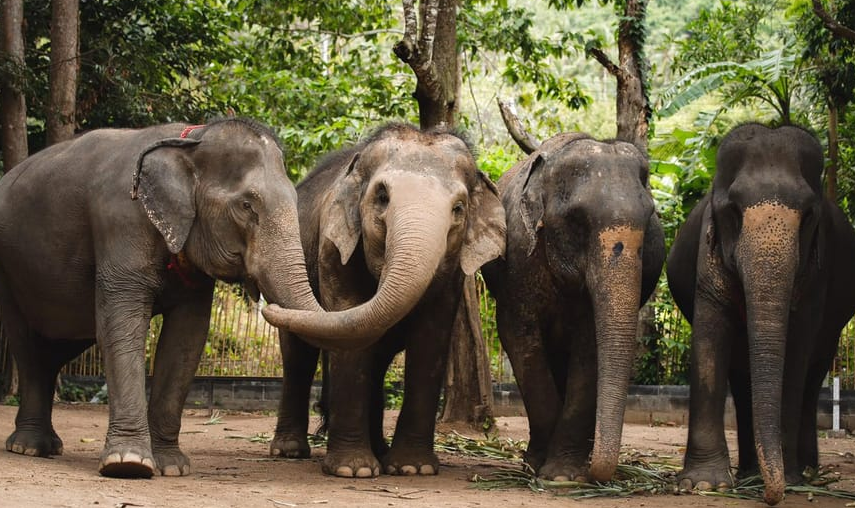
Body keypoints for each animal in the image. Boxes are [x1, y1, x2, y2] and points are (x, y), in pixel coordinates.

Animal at [0, 117, 374, 478]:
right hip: (11, 274)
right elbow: (123, 326)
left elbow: (186, 338)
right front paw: (128, 464)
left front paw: (172, 466)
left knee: (54, 350)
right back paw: (29, 448)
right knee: (26, 345)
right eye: (246, 205)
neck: (190, 142)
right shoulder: (121, 222)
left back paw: (45, 445)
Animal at [264, 122, 504, 476]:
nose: (269, 307)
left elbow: (430, 340)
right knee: (298, 356)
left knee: (374, 363)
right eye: (382, 197)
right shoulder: (332, 248)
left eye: (459, 209)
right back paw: (290, 451)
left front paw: (413, 469)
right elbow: (349, 318)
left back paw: (379, 449)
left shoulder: (453, 274)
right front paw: (353, 470)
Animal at [482, 133, 668, 482]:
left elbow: (590, 348)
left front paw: (563, 475)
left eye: (649, 219)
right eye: (577, 220)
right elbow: (518, 336)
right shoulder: (519, 261)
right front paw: (538, 468)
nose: (596, 474)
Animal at [668, 123, 855, 504]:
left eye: (809, 215)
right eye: (733, 211)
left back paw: (804, 472)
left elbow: (796, 351)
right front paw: (703, 485)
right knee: (741, 379)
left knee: (813, 373)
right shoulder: (707, 259)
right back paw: (749, 473)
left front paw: (790, 477)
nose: (772, 496)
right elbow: (709, 341)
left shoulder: (817, 273)